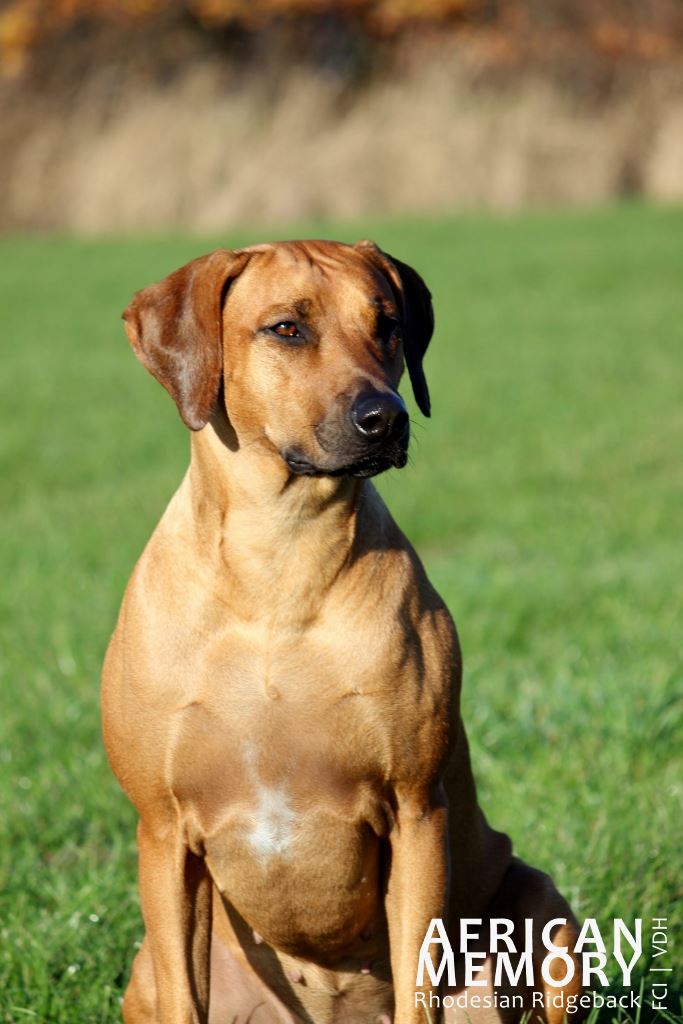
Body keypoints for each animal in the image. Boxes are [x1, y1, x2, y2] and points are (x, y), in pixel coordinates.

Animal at [102, 240, 582, 1024]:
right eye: (285, 329)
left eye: (387, 325)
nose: (383, 417)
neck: (280, 564)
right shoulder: (164, 830)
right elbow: (181, 992)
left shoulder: (416, 813)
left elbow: (418, 981)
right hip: (148, 967)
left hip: (545, 915)